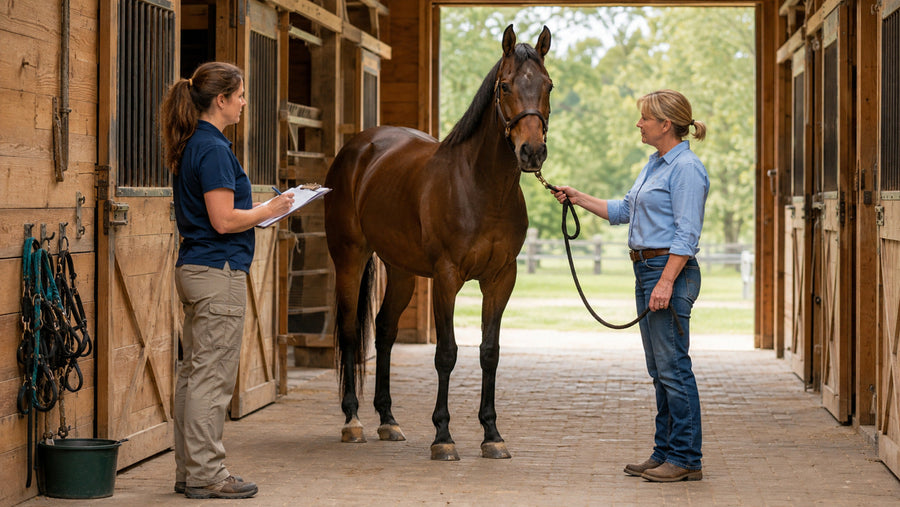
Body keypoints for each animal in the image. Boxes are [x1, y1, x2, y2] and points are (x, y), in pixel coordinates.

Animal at [323, 24, 552, 461]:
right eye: (505, 86)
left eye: (548, 86)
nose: (531, 152)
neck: (482, 187)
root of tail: (358, 148)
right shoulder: (447, 277)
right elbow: (446, 353)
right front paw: (443, 436)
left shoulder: (501, 279)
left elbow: (489, 352)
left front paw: (492, 434)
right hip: (350, 258)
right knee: (349, 331)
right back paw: (352, 421)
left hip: (400, 271)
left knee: (384, 330)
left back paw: (388, 420)